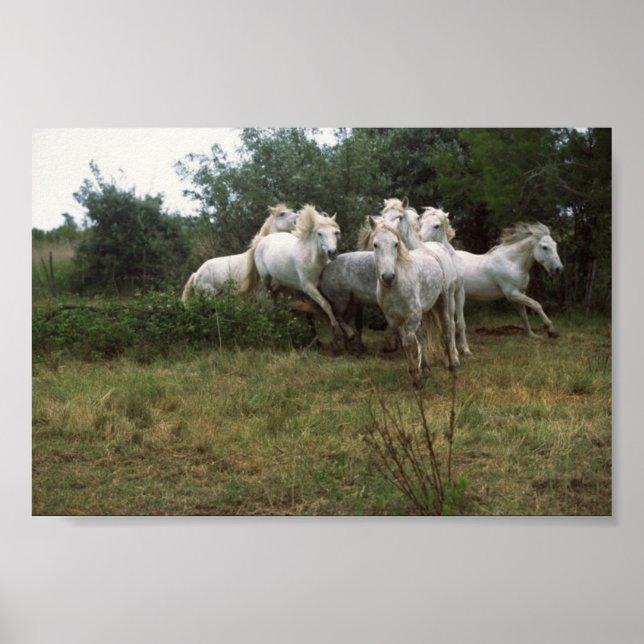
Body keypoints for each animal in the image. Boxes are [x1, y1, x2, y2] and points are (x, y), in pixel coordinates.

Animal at [239, 204, 344, 347]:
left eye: (336, 232)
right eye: (319, 234)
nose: (332, 252)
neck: (311, 259)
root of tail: (263, 240)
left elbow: (322, 308)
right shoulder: (308, 287)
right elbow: (325, 305)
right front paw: (337, 330)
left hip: (281, 282)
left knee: (274, 296)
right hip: (266, 279)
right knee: (266, 296)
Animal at [370, 218, 458, 389]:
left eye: (396, 244)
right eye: (375, 244)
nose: (388, 277)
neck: (395, 286)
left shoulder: (412, 316)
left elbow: (409, 343)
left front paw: (416, 377)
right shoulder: (395, 320)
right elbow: (406, 344)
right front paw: (417, 376)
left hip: (444, 301)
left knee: (447, 330)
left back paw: (452, 364)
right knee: (423, 336)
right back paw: (426, 371)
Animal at [420, 207, 472, 356]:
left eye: (436, 225)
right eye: (421, 223)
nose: (421, 239)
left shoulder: (459, 292)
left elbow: (460, 323)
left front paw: (465, 349)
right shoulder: (449, 294)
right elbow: (451, 324)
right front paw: (455, 352)